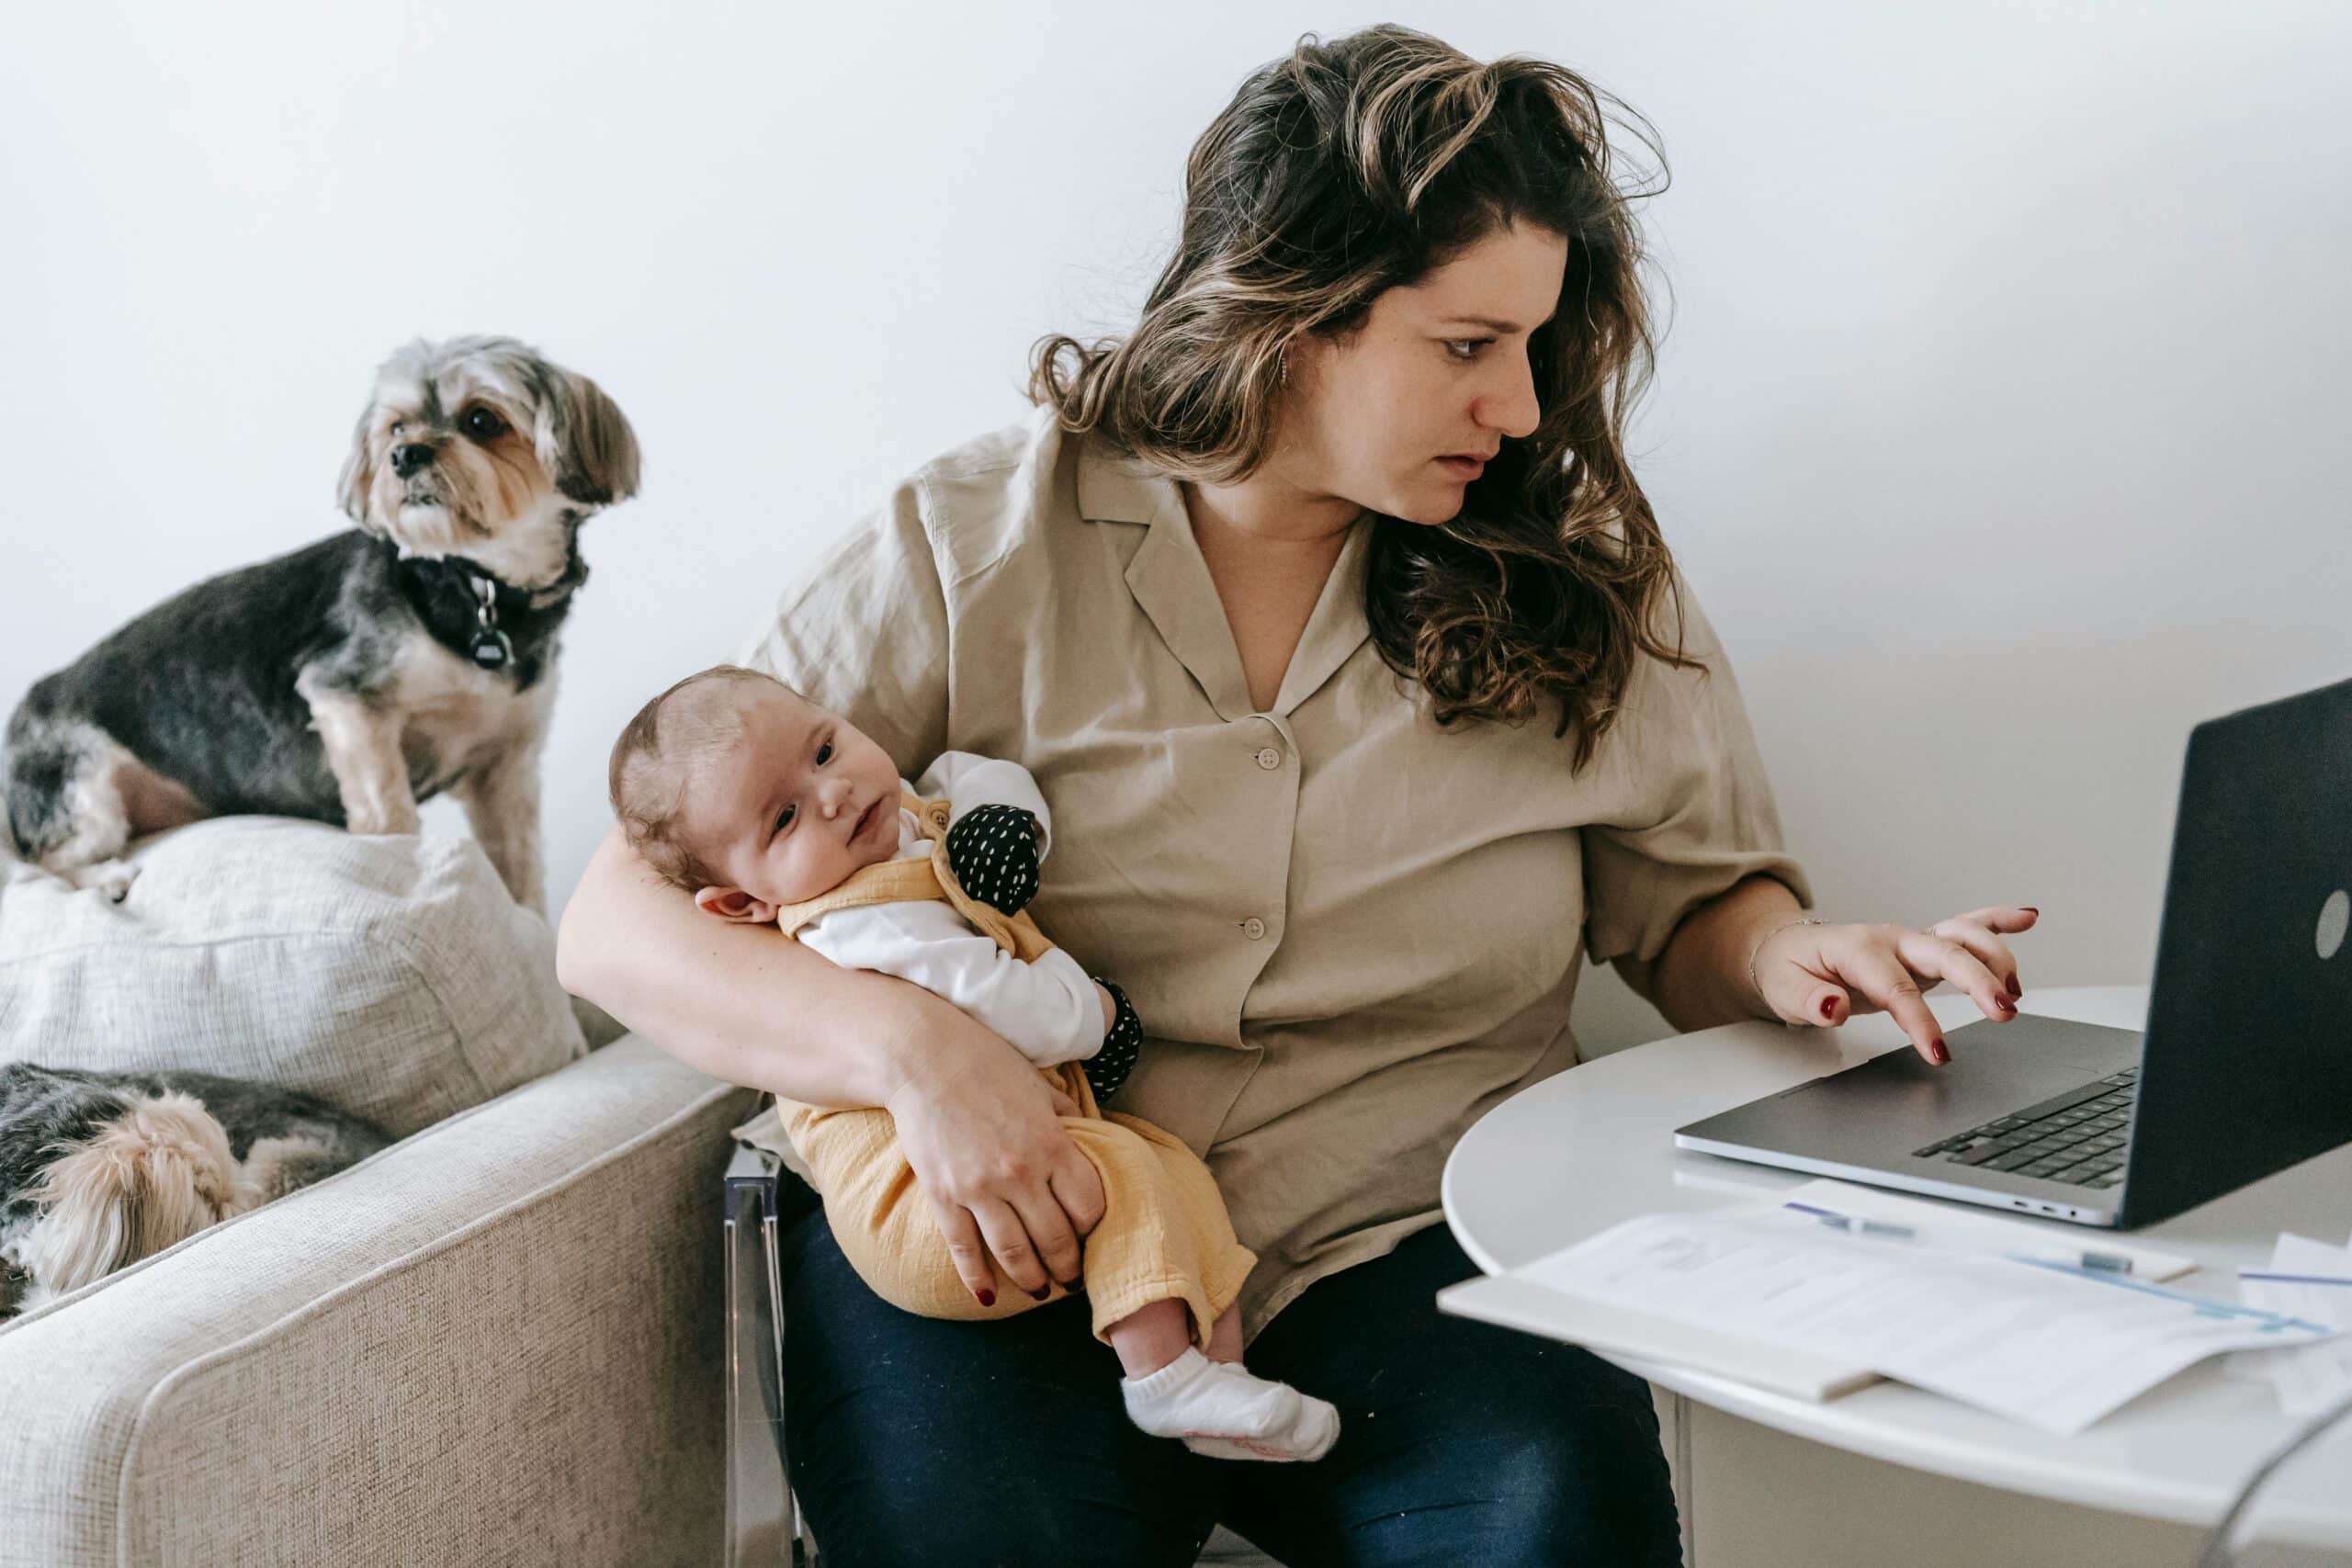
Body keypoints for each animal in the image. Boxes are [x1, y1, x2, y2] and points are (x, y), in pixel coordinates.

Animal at [0, 338, 639, 911]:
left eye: (483, 419)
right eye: (396, 428)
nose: (403, 457)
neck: (474, 583)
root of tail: (26, 709)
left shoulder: (505, 765)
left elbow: (521, 872)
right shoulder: (348, 700)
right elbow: (389, 812)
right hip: (80, 790)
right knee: (40, 861)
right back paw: (106, 878)